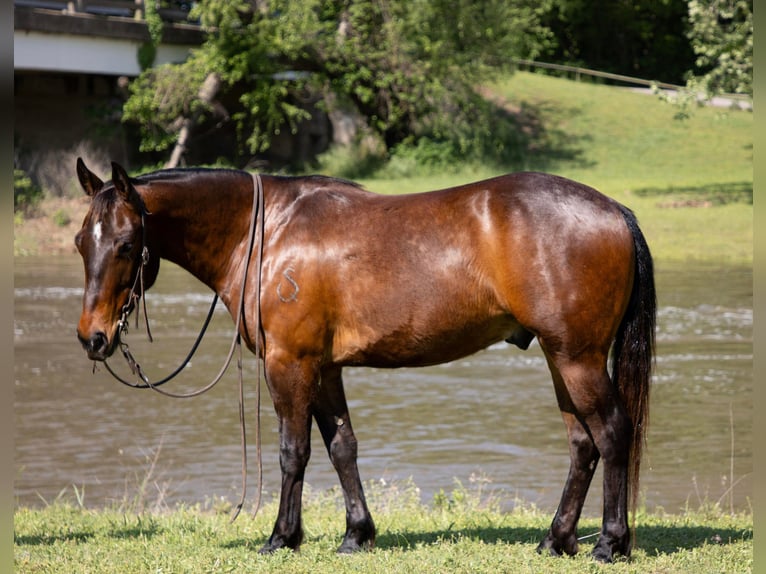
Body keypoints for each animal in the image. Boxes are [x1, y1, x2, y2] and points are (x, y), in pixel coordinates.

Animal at [75, 160, 656, 564]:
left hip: (577, 359)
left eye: (125, 244)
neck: (268, 233)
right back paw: (557, 540)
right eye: (83, 242)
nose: (93, 338)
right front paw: (357, 534)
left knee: (612, 433)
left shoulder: (290, 364)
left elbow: (293, 452)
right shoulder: (324, 368)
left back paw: (609, 543)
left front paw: (282, 537)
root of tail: (614, 211)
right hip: (562, 360)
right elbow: (342, 449)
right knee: (582, 445)